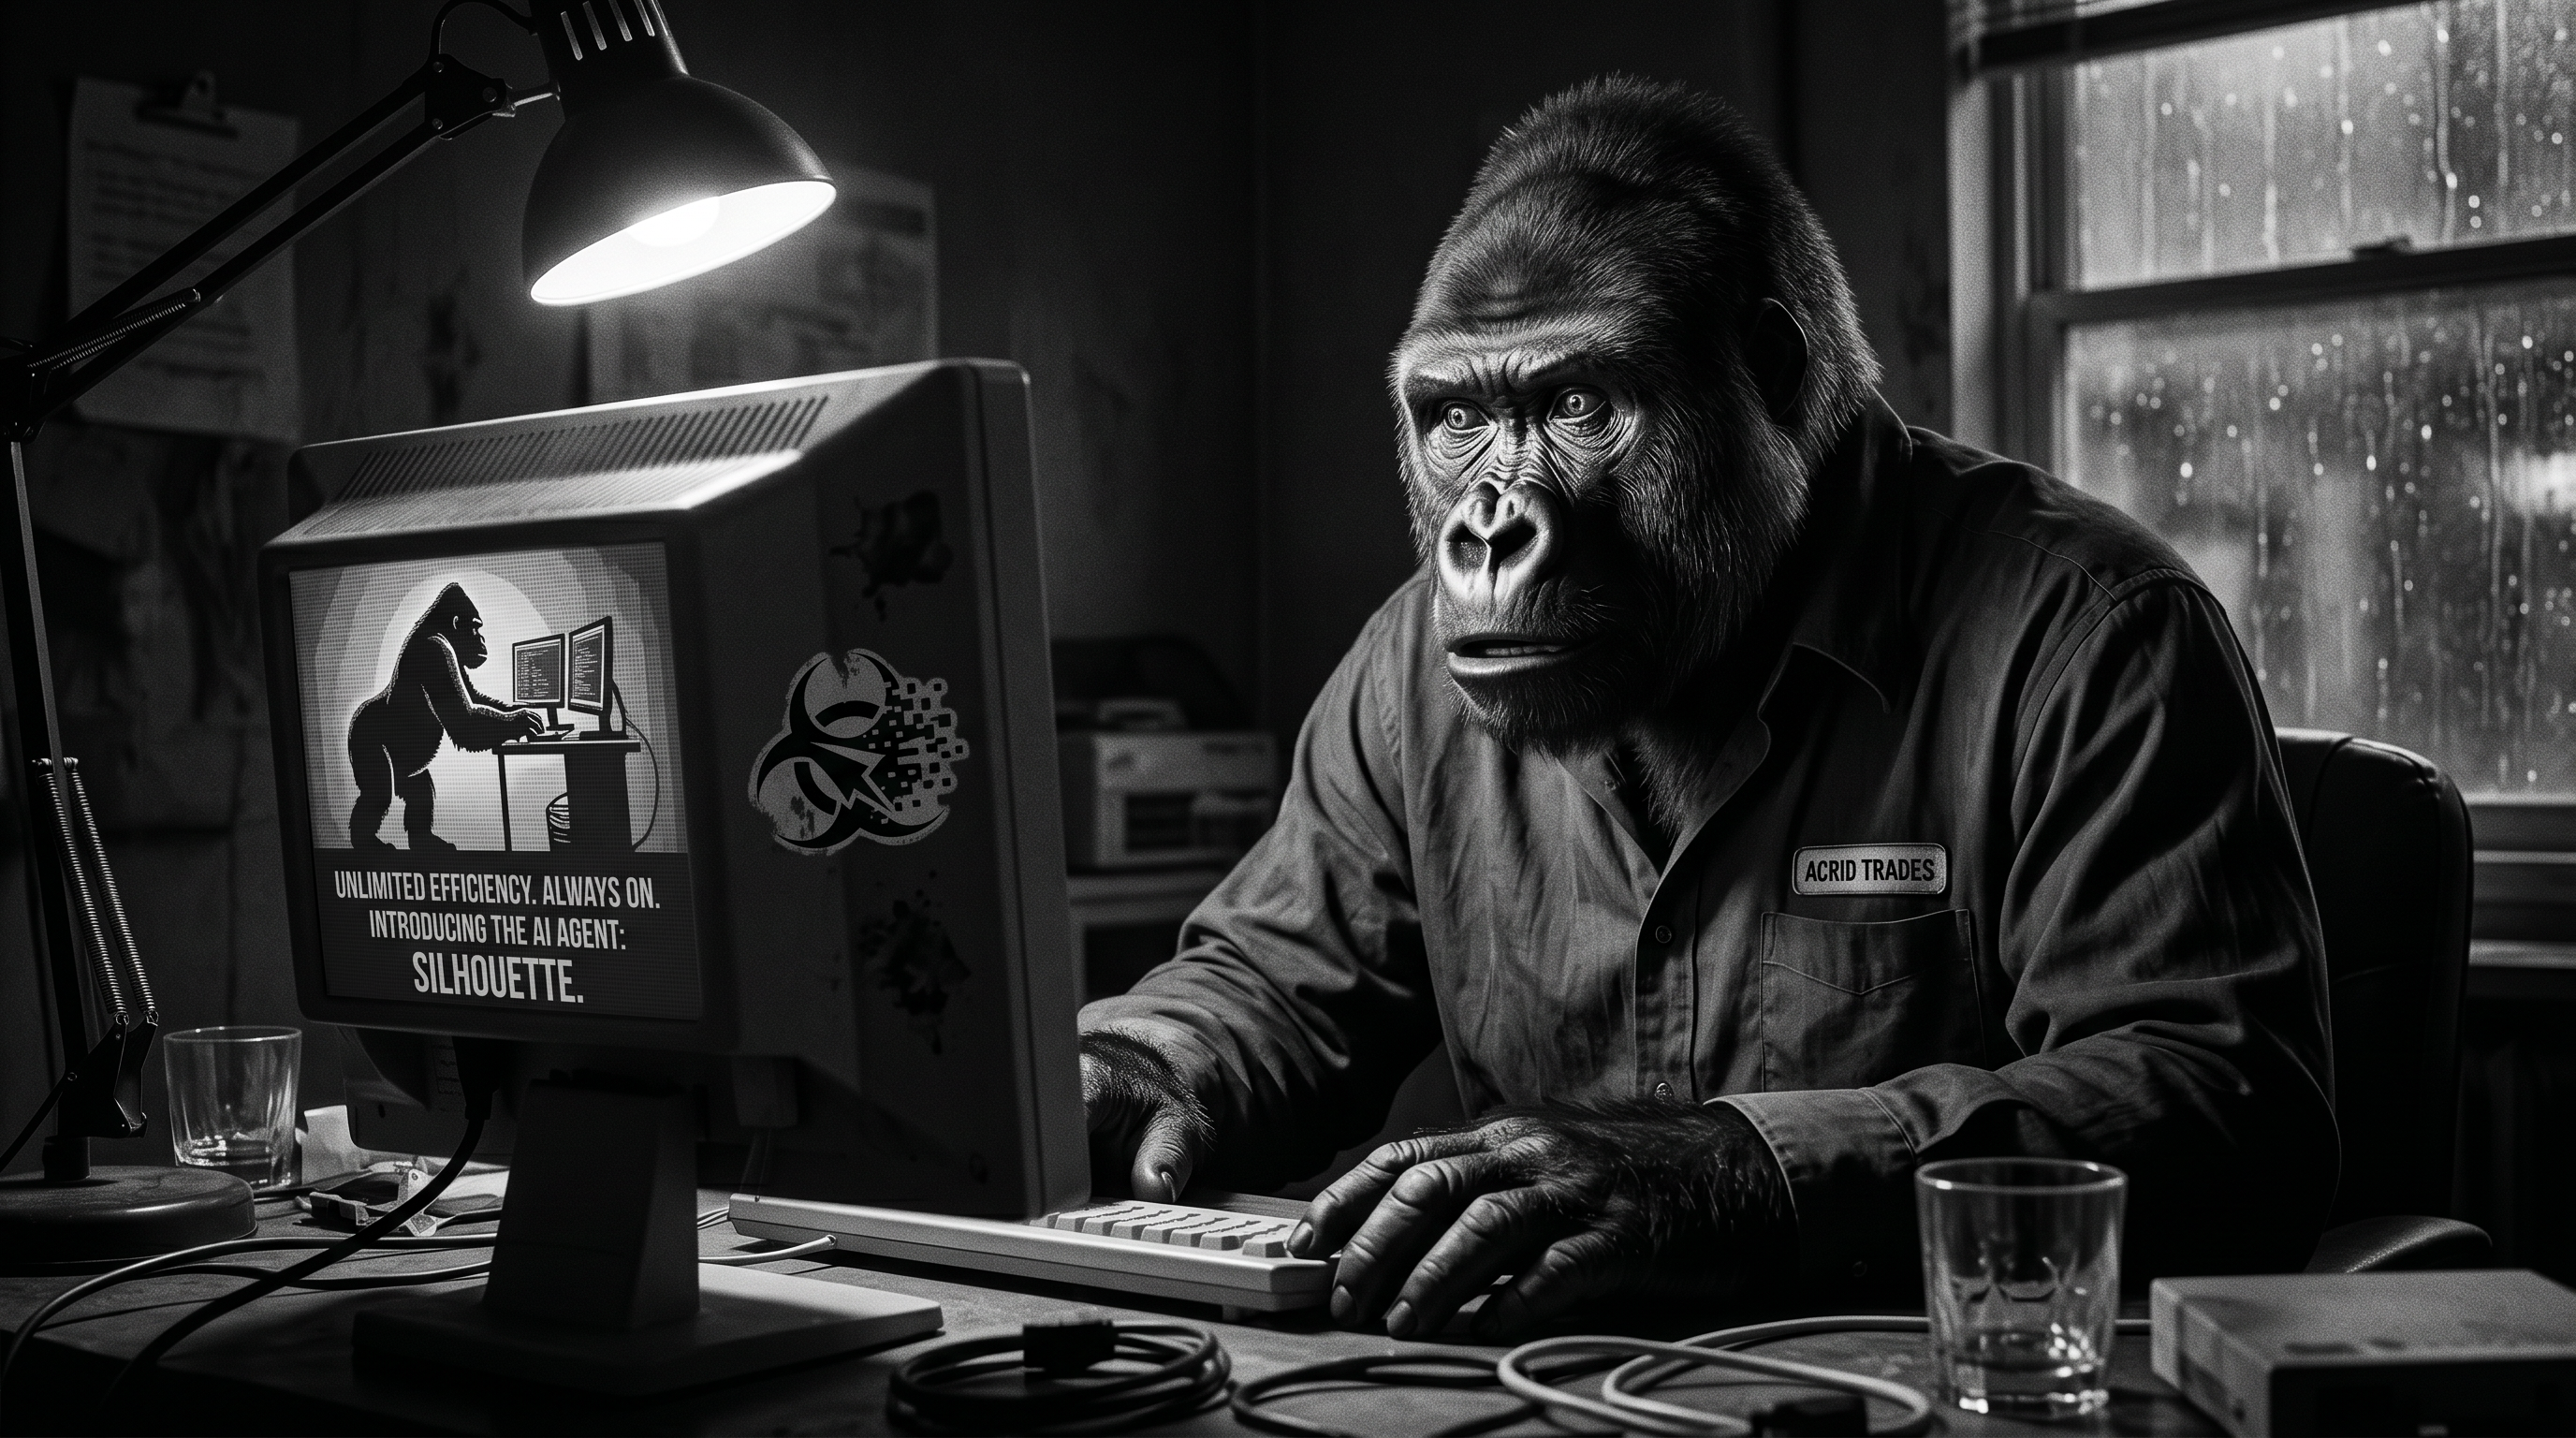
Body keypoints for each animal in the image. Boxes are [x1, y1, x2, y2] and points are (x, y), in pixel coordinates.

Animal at [347, 584, 547, 851]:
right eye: (476, 627)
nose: (483, 640)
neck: (436, 626)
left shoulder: (457, 659)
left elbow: (475, 699)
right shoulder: (437, 652)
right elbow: (464, 722)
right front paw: (521, 721)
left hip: (406, 769)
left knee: (419, 790)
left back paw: (424, 840)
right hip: (362, 737)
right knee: (378, 793)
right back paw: (367, 843)